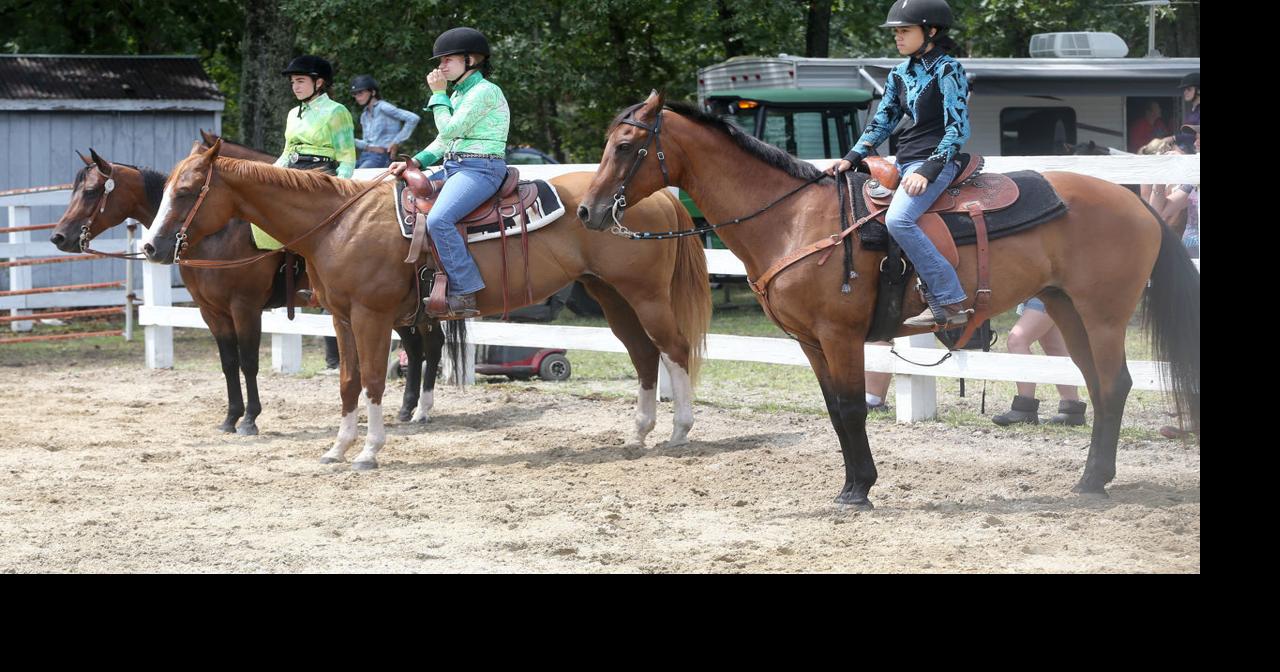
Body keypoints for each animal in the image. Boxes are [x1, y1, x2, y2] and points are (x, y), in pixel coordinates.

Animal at [145, 138, 716, 468]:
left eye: (189, 190)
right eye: (166, 187)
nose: (151, 246)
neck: (339, 223)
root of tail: (653, 195)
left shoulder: (372, 316)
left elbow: (374, 380)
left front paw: (369, 451)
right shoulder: (342, 318)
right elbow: (348, 381)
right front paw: (337, 448)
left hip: (645, 295)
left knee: (673, 349)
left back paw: (679, 432)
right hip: (612, 296)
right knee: (644, 355)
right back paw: (638, 434)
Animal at [581, 91, 1198, 506]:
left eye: (627, 145)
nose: (587, 211)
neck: (792, 218)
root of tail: (1134, 201)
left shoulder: (841, 336)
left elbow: (855, 408)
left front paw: (859, 492)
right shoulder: (811, 343)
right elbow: (836, 411)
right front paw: (853, 484)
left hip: (1104, 314)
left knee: (1114, 385)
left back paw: (1092, 481)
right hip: (1067, 309)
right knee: (1098, 387)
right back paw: (1095, 477)